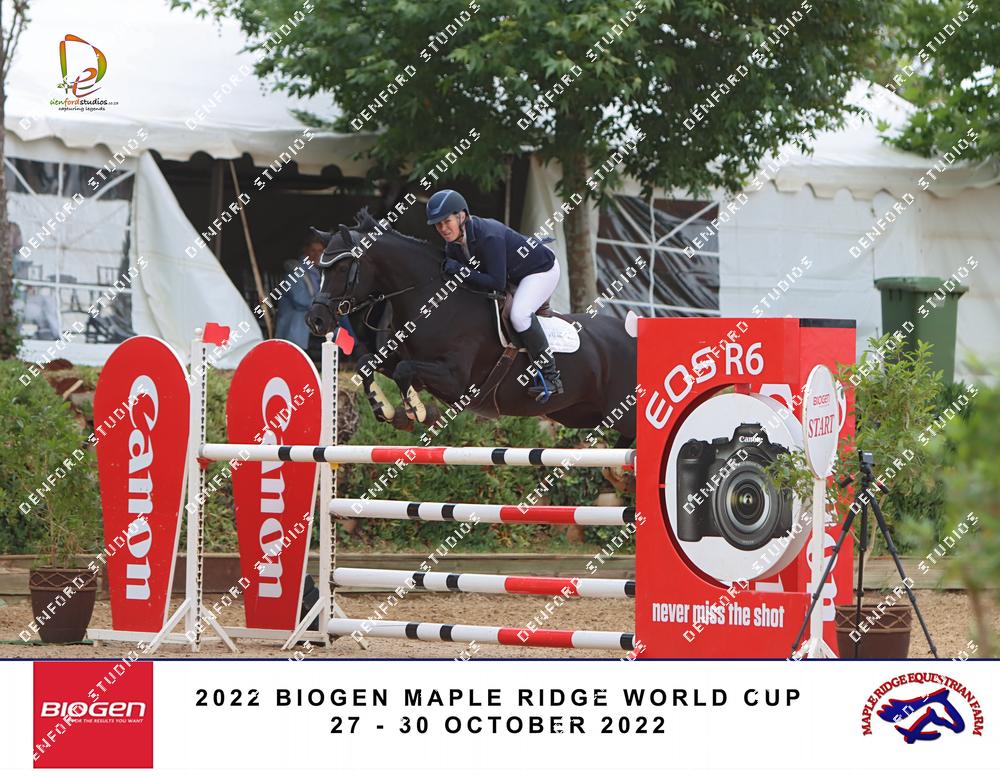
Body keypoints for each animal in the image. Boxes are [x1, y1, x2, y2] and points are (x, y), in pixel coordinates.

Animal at [306, 210, 637, 447]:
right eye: (319, 268)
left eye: (341, 267)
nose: (316, 320)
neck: (432, 301)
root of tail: (631, 332)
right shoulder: (402, 358)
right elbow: (367, 363)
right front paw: (386, 410)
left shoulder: (456, 380)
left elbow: (404, 372)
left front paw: (420, 411)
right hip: (577, 413)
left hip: (621, 413)